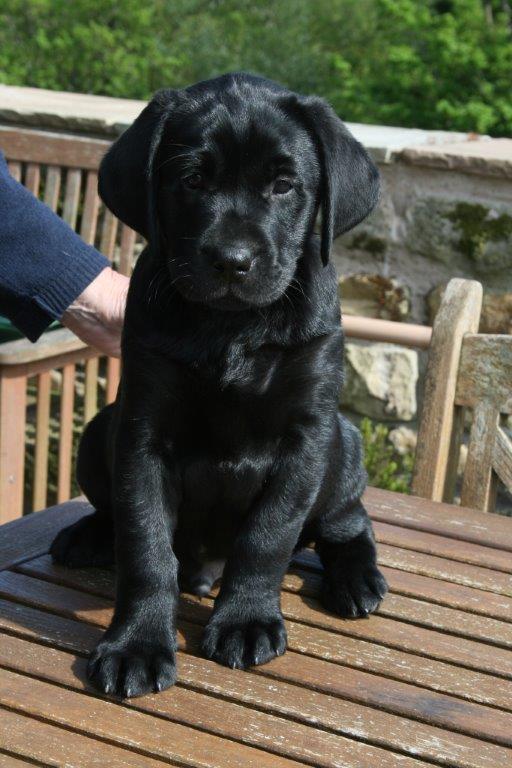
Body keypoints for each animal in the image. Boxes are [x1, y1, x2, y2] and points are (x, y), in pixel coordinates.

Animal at [51, 72, 388, 696]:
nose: (232, 261)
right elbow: (145, 546)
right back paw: (88, 535)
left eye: (283, 186)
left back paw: (356, 580)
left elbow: (267, 536)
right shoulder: (141, 433)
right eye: (191, 180)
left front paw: (246, 620)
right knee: (117, 517)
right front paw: (136, 644)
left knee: (347, 524)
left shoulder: (306, 435)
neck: (231, 327)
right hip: (98, 431)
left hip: (345, 447)